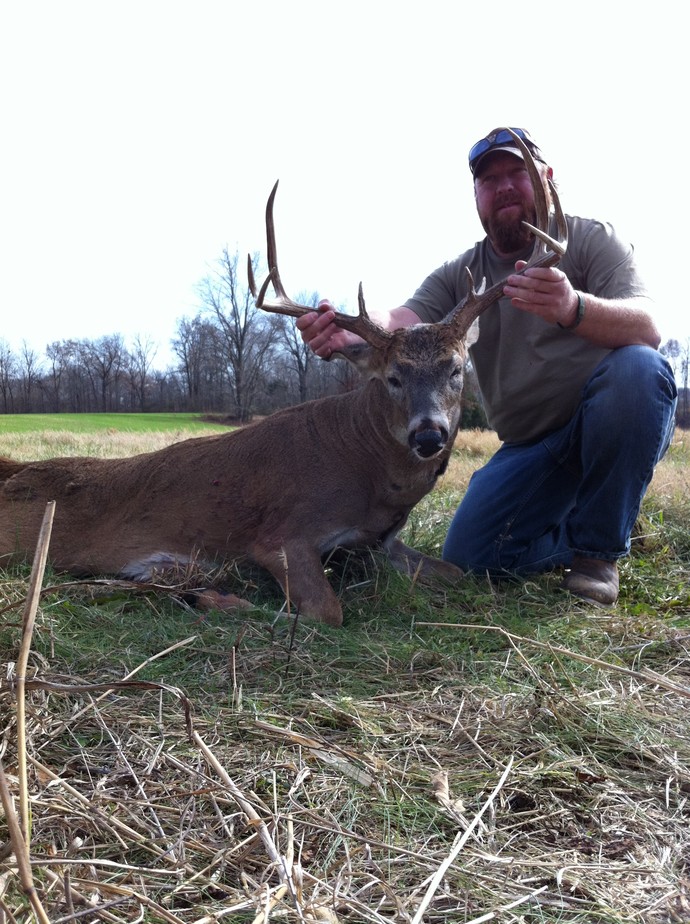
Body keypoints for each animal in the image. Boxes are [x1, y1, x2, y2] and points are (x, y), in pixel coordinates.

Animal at [0, 130, 566, 626]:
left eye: (455, 368)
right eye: (392, 377)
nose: (429, 434)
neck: (368, 474)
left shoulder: (381, 543)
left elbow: (464, 576)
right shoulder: (280, 535)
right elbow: (326, 611)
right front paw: (211, 595)